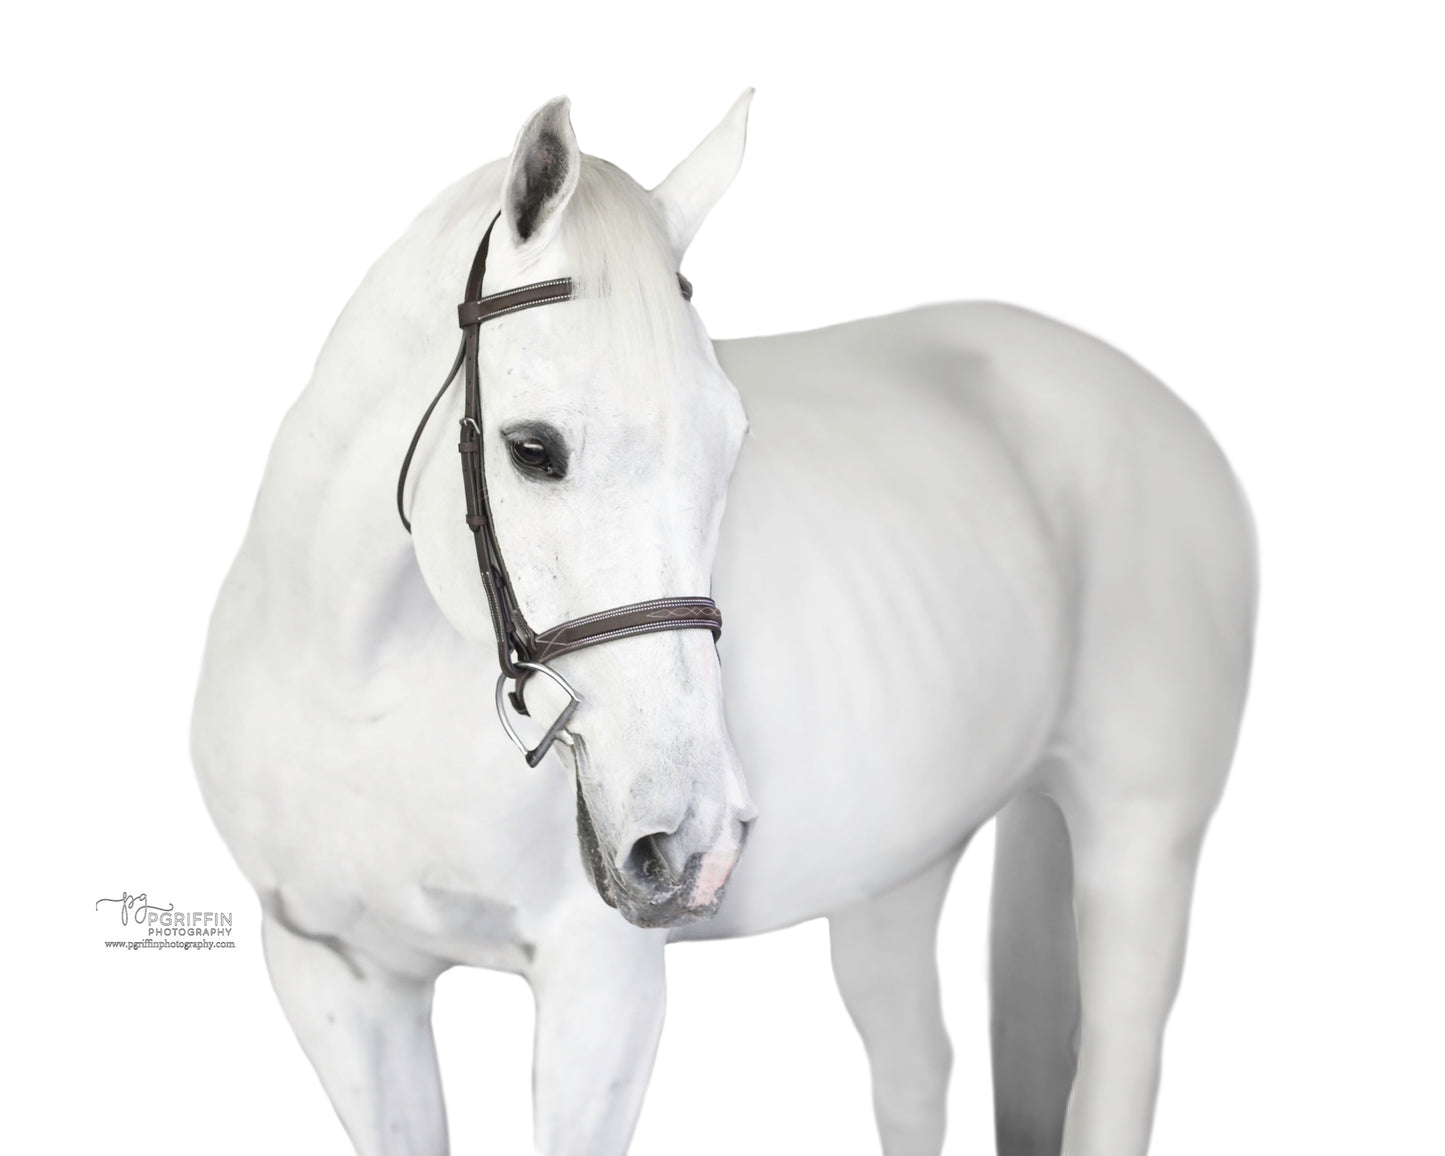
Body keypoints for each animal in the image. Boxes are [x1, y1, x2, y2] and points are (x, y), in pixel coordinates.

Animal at [192, 91, 1257, 1156]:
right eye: (532, 449)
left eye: (732, 441)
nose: (689, 837)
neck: (357, 690)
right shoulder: (337, 977)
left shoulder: (600, 990)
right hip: (897, 875)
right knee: (917, 1068)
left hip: (1138, 846)